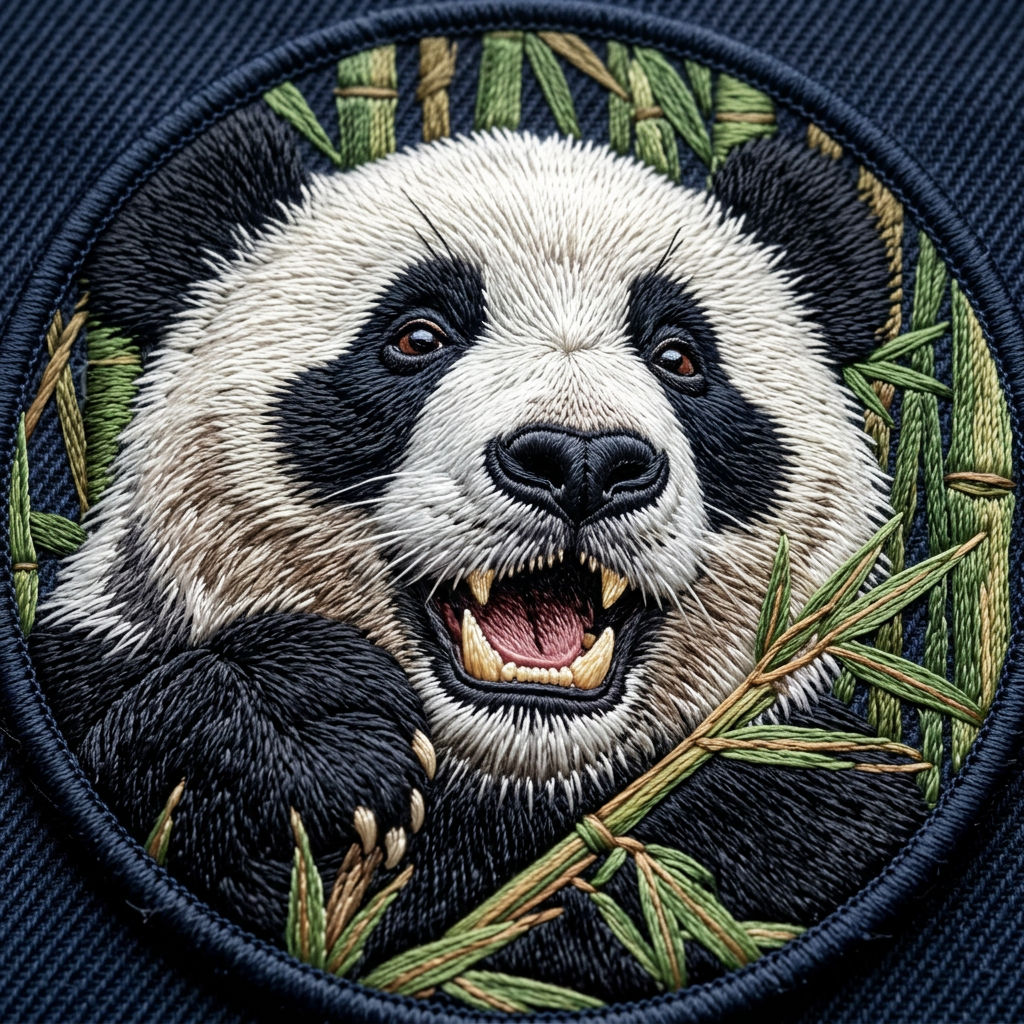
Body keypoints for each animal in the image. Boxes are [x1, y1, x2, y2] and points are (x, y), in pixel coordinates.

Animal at [31, 102, 927, 1001]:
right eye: (417, 336)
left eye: (679, 355)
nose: (582, 462)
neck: (519, 773)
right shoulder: (96, 658)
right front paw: (313, 731)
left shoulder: (797, 787)